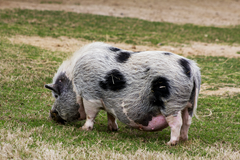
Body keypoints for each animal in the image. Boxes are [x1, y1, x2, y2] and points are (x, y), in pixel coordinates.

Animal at [44, 42, 201, 146]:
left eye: (56, 95)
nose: (51, 114)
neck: (74, 83)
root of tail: (192, 69)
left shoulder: (90, 96)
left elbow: (90, 114)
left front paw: (84, 129)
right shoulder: (109, 101)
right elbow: (110, 114)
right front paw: (112, 129)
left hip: (171, 103)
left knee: (177, 123)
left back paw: (171, 143)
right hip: (189, 103)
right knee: (187, 121)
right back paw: (183, 139)